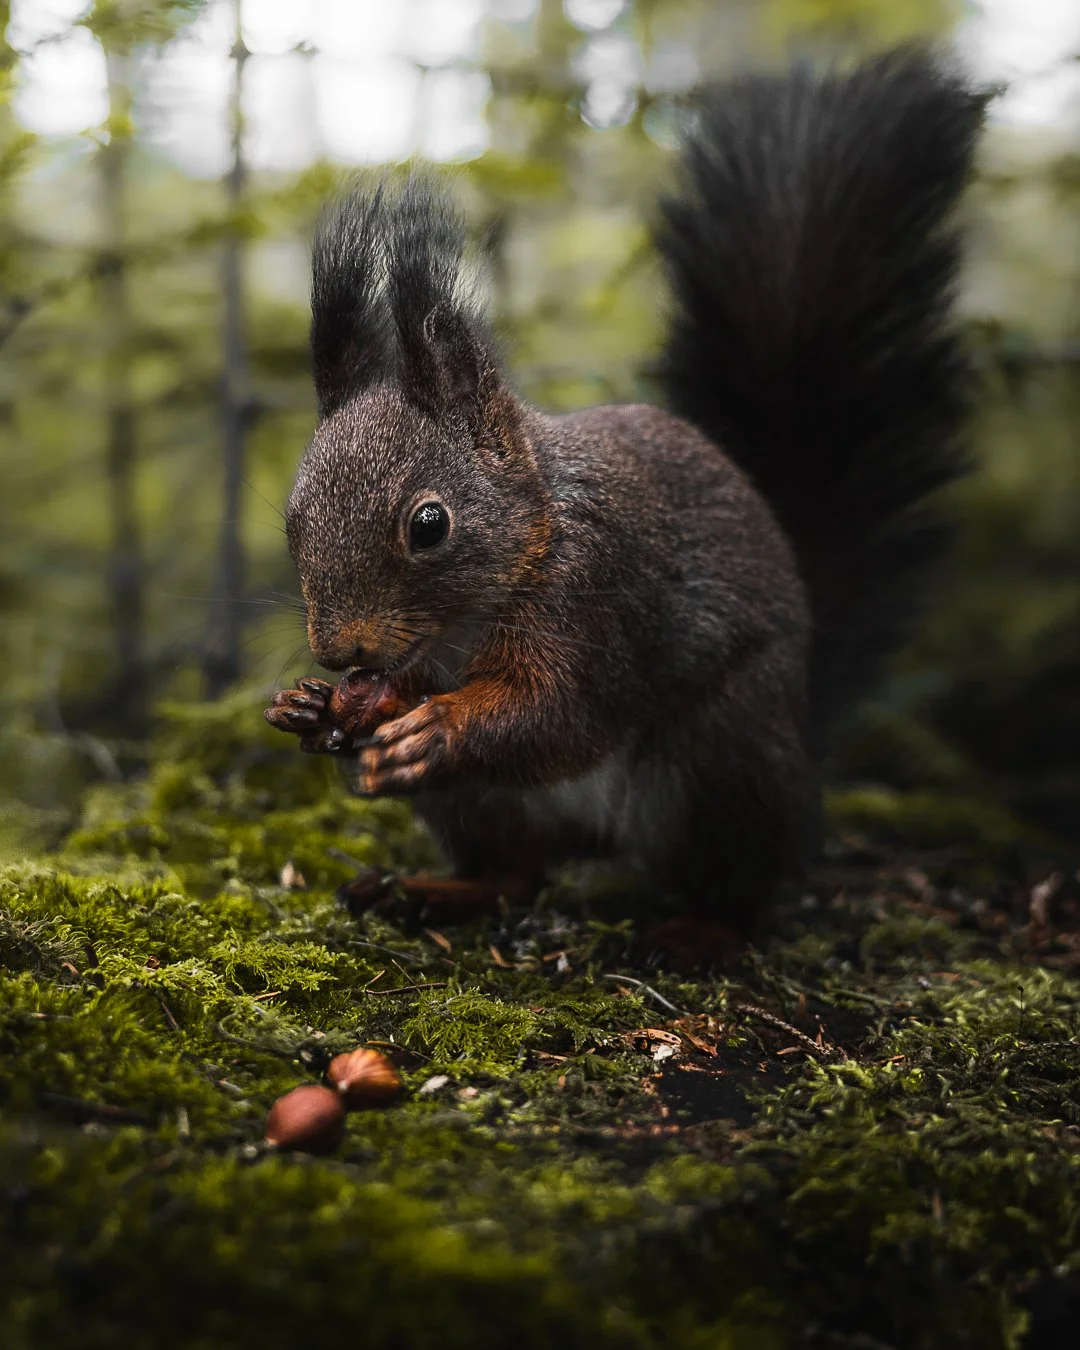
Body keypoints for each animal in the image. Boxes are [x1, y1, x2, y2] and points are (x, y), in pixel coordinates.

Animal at [266, 46, 987, 932]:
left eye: (429, 524)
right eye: (292, 520)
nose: (339, 652)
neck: (531, 544)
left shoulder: (599, 598)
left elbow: (558, 713)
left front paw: (437, 727)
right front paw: (319, 710)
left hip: (720, 753)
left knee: (741, 880)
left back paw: (698, 934)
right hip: (480, 805)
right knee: (516, 873)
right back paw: (432, 889)